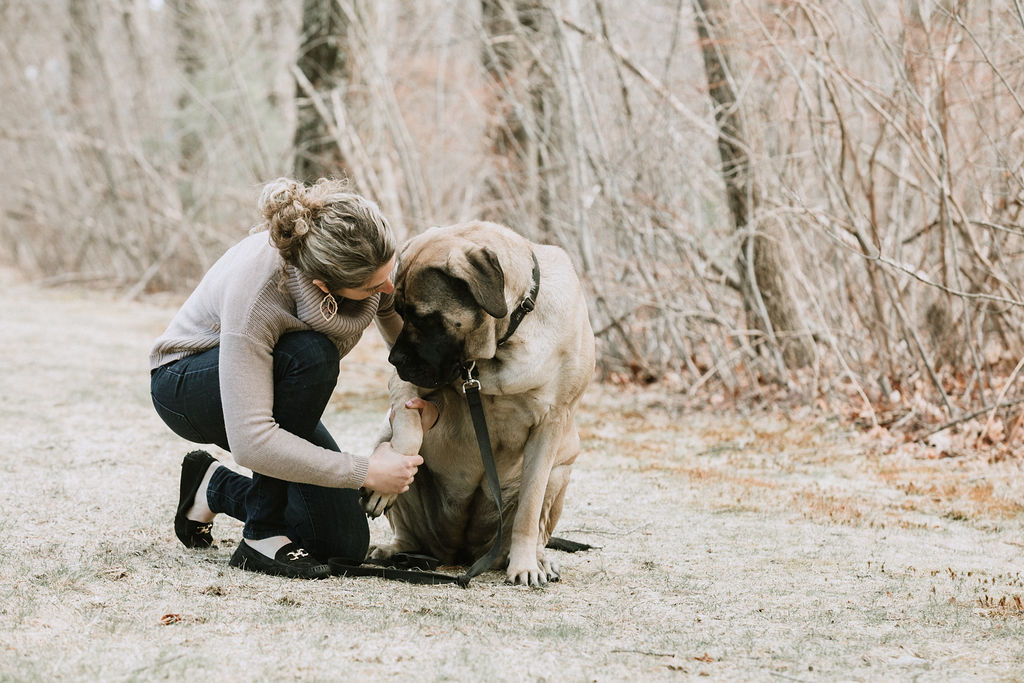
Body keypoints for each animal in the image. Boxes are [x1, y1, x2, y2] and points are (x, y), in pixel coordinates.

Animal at [364, 222, 598, 585]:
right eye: (400, 312)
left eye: (425, 318)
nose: (394, 358)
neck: (505, 341)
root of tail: (461, 552)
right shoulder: (409, 383)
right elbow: (407, 426)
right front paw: (390, 475)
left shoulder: (552, 422)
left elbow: (529, 509)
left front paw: (525, 565)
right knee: (409, 532)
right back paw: (393, 549)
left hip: (561, 471)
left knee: (538, 522)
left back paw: (536, 559)